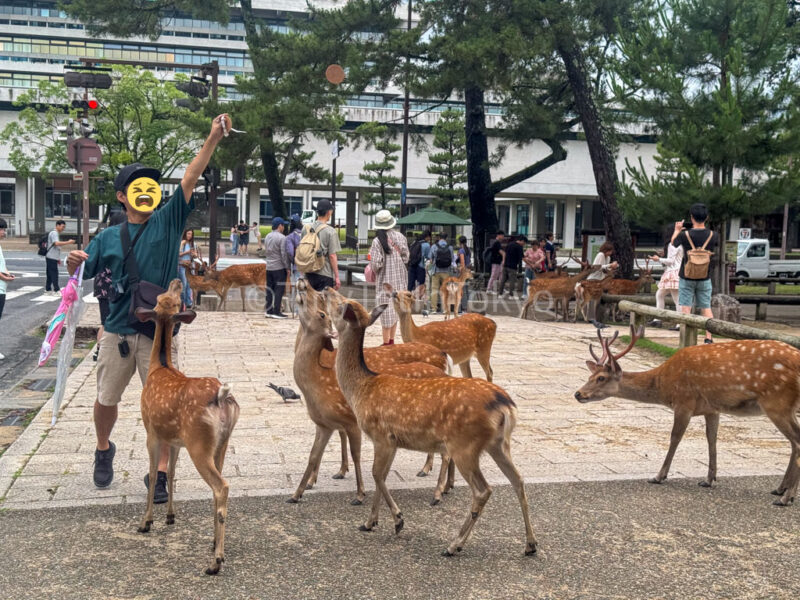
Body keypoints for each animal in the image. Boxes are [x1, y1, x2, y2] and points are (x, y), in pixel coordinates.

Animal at [134, 279, 240, 575]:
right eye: (170, 298)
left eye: (160, 298)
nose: (177, 281)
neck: (159, 367)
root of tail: (221, 396)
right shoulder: (175, 439)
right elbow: (170, 473)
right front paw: (170, 516)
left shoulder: (151, 431)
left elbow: (152, 474)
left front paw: (146, 522)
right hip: (220, 442)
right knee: (219, 487)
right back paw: (214, 546)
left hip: (198, 441)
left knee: (221, 486)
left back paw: (215, 562)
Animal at [292, 288, 455, 506]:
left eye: (322, 314)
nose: (322, 289)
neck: (316, 384)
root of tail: (446, 361)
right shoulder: (324, 424)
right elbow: (313, 455)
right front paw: (298, 492)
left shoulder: (350, 421)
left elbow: (356, 455)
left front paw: (359, 494)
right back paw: (446, 486)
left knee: (446, 452)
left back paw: (436, 489)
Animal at [325, 292, 537, 557]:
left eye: (340, 305)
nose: (326, 291)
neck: (361, 389)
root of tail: (506, 406)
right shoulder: (393, 441)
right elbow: (381, 476)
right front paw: (370, 522)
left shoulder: (381, 435)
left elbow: (376, 474)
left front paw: (396, 520)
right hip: (499, 444)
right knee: (518, 480)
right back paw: (530, 544)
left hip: (464, 445)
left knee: (483, 490)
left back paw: (454, 544)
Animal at [575, 325, 800, 506]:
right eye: (590, 376)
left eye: (601, 378)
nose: (578, 394)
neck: (663, 385)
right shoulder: (712, 408)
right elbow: (712, 440)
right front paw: (708, 479)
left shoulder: (684, 402)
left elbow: (675, 438)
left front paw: (659, 476)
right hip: (786, 407)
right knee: (793, 443)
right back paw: (780, 489)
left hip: (776, 402)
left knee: (796, 441)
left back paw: (786, 497)